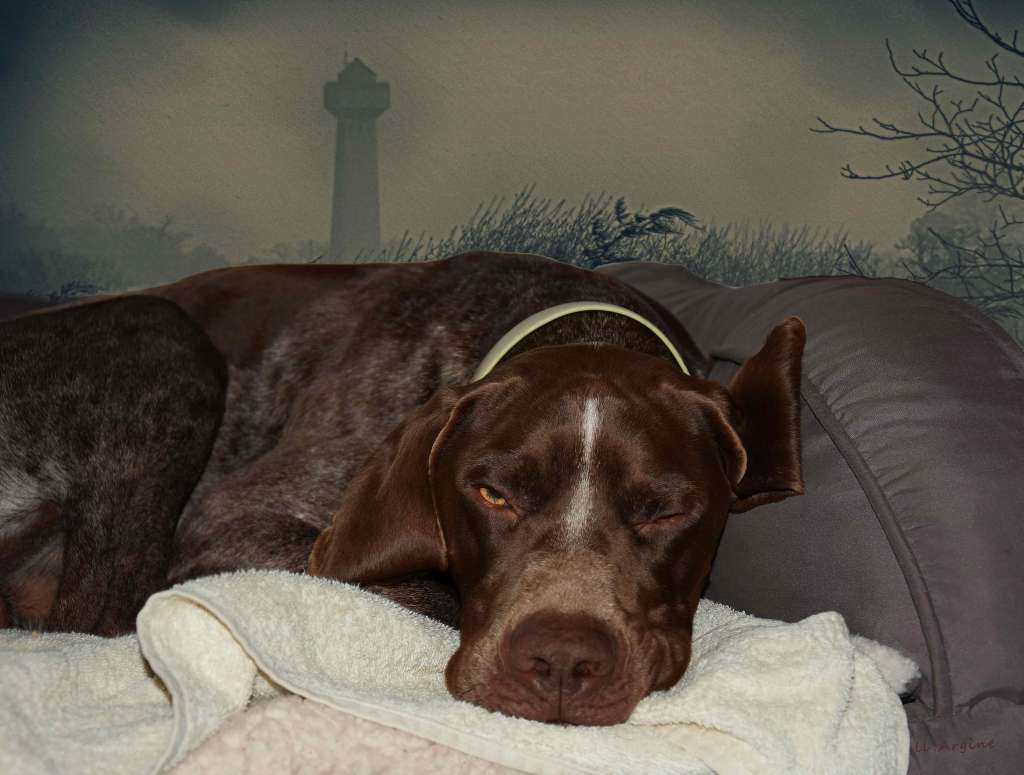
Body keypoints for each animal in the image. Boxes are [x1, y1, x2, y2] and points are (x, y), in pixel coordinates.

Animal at [0, 251, 805, 725]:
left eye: (665, 511)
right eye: (493, 496)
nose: (562, 665)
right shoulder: (236, 521)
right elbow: (427, 591)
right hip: (163, 334)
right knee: (97, 614)